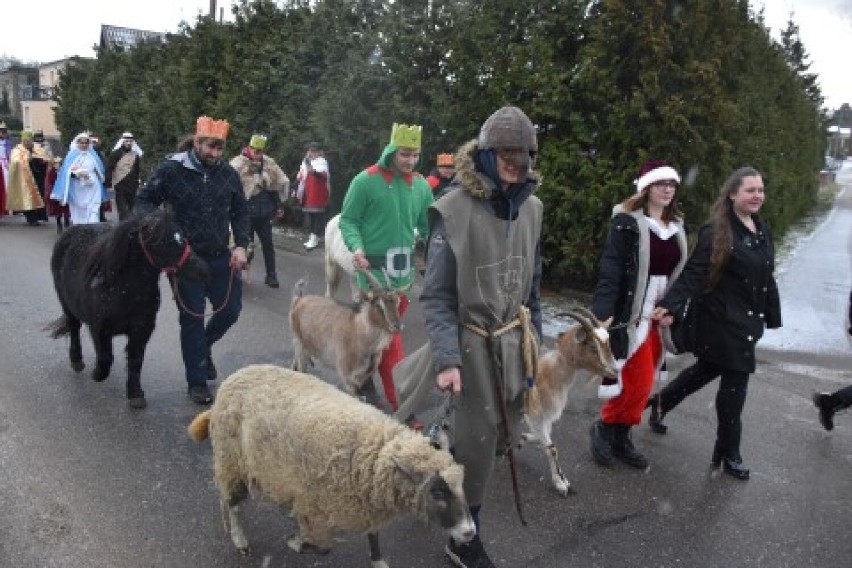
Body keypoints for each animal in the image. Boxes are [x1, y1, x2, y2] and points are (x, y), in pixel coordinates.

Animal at [49, 209, 210, 408]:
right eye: (163, 242)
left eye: (182, 237)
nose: (203, 270)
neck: (123, 288)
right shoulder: (100, 328)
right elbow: (106, 357)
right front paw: (97, 374)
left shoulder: (142, 328)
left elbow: (135, 359)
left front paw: (135, 393)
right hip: (66, 305)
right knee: (74, 327)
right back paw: (77, 361)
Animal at [186, 366, 476, 564]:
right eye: (437, 491)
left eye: (462, 485)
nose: (470, 532)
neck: (372, 454)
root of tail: (234, 378)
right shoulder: (316, 507)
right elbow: (323, 547)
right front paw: (296, 543)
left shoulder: (366, 506)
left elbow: (374, 542)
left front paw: (378, 561)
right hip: (231, 461)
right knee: (231, 503)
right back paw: (240, 539)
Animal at [290, 270, 402, 404]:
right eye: (378, 304)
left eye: (397, 302)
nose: (398, 326)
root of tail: (298, 299)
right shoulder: (347, 375)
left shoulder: (361, 377)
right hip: (300, 343)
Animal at [524, 304, 616, 494]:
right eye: (593, 347)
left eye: (608, 343)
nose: (615, 370)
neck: (546, 375)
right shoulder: (536, 415)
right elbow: (551, 449)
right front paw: (560, 483)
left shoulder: (545, 418)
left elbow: (546, 440)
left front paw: (527, 438)